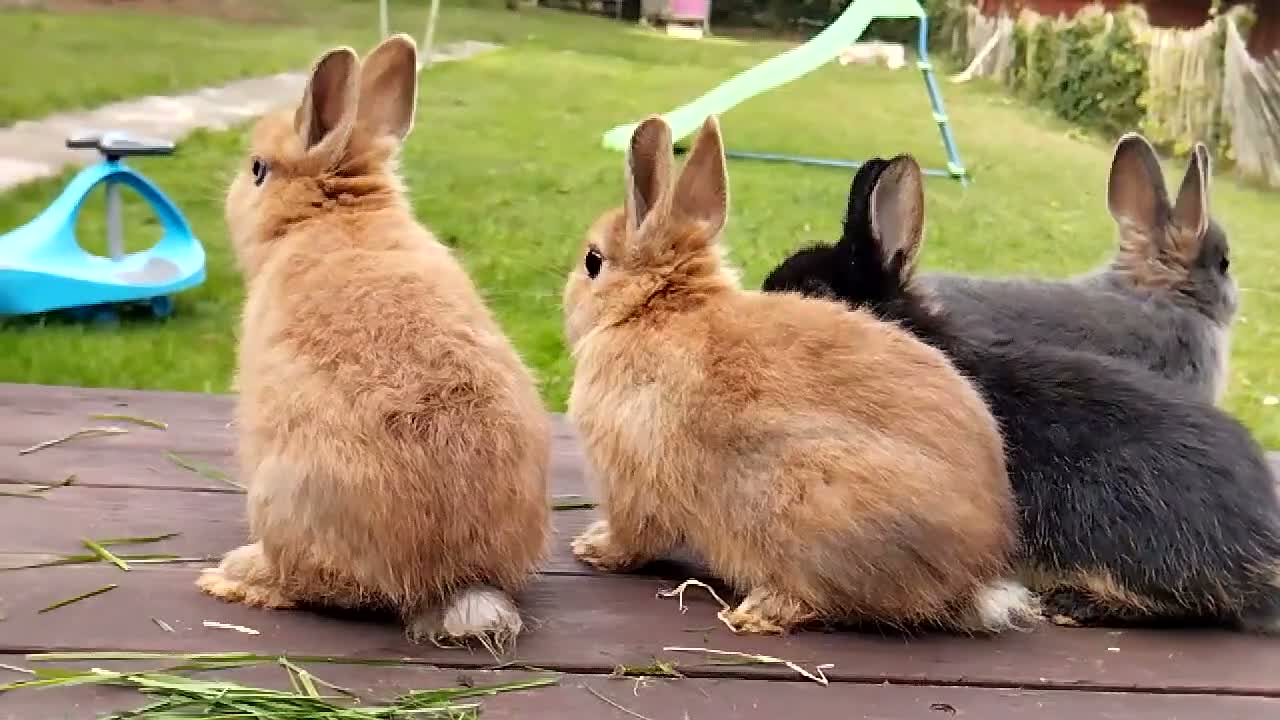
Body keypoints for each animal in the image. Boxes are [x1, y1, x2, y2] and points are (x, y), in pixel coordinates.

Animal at [195, 34, 551, 650]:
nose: (231, 193)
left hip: (283, 493)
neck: (328, 214)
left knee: (311, 585)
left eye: (259, 169)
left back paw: (232, 575)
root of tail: (455, 583)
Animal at [561, 114, 1039, 636]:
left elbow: (632, 536)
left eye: (592, 262)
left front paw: (592, 548)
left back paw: (755, 612)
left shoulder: (629, 483)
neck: (656, 308)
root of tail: (973, 582)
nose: (568, 299)